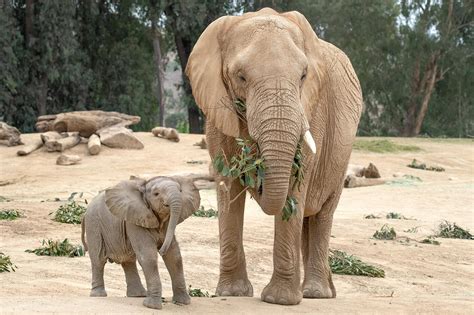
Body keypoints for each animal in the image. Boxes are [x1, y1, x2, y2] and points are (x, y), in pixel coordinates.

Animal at [81, 177, 200, 310]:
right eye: (156, 194)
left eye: (180, 191)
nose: (161, 249)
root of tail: (85, 213)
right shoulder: (135, 219)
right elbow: (148, 256)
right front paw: (152, 306)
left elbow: (174, 257)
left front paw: (183, 303)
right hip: (94, 225)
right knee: (98, 260)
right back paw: (98, 295)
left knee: (128, 261)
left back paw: (138, 295)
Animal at [186, 7, 362, 306]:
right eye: (241, 77)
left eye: (303, 75)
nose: (258, 179)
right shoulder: (218, 109)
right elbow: (228, 187)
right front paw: (232, 293)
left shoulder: (312, 108)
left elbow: (296, 184)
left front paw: (279, 301)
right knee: (307, 217)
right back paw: (315, 291)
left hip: (340, 156)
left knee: (322, 214)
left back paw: (315, 294)